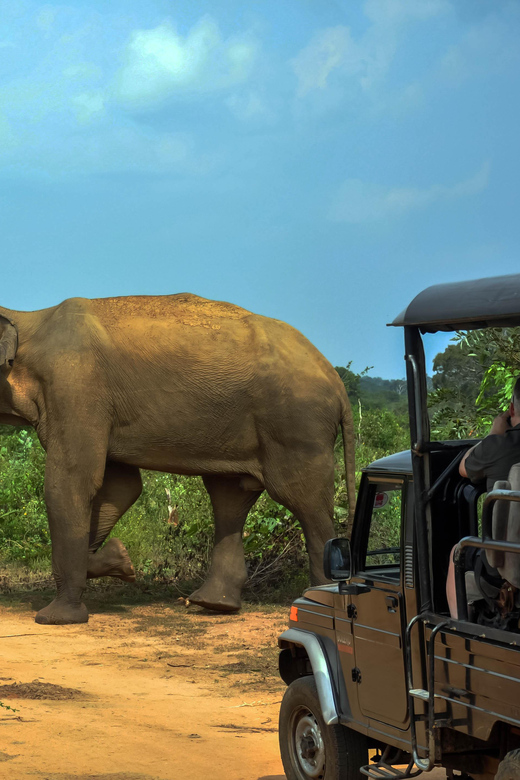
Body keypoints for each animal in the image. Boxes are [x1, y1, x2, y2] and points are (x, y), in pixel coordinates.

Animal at [0, 293, 355, 624]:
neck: (30, 320)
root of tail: (338, 385)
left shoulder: (75, 386)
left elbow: (71, 482)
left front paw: (56, 618)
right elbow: (121, 487)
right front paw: (123, 560)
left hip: (297, 425)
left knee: (303, 500)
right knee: (230, 497)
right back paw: (213, 604)